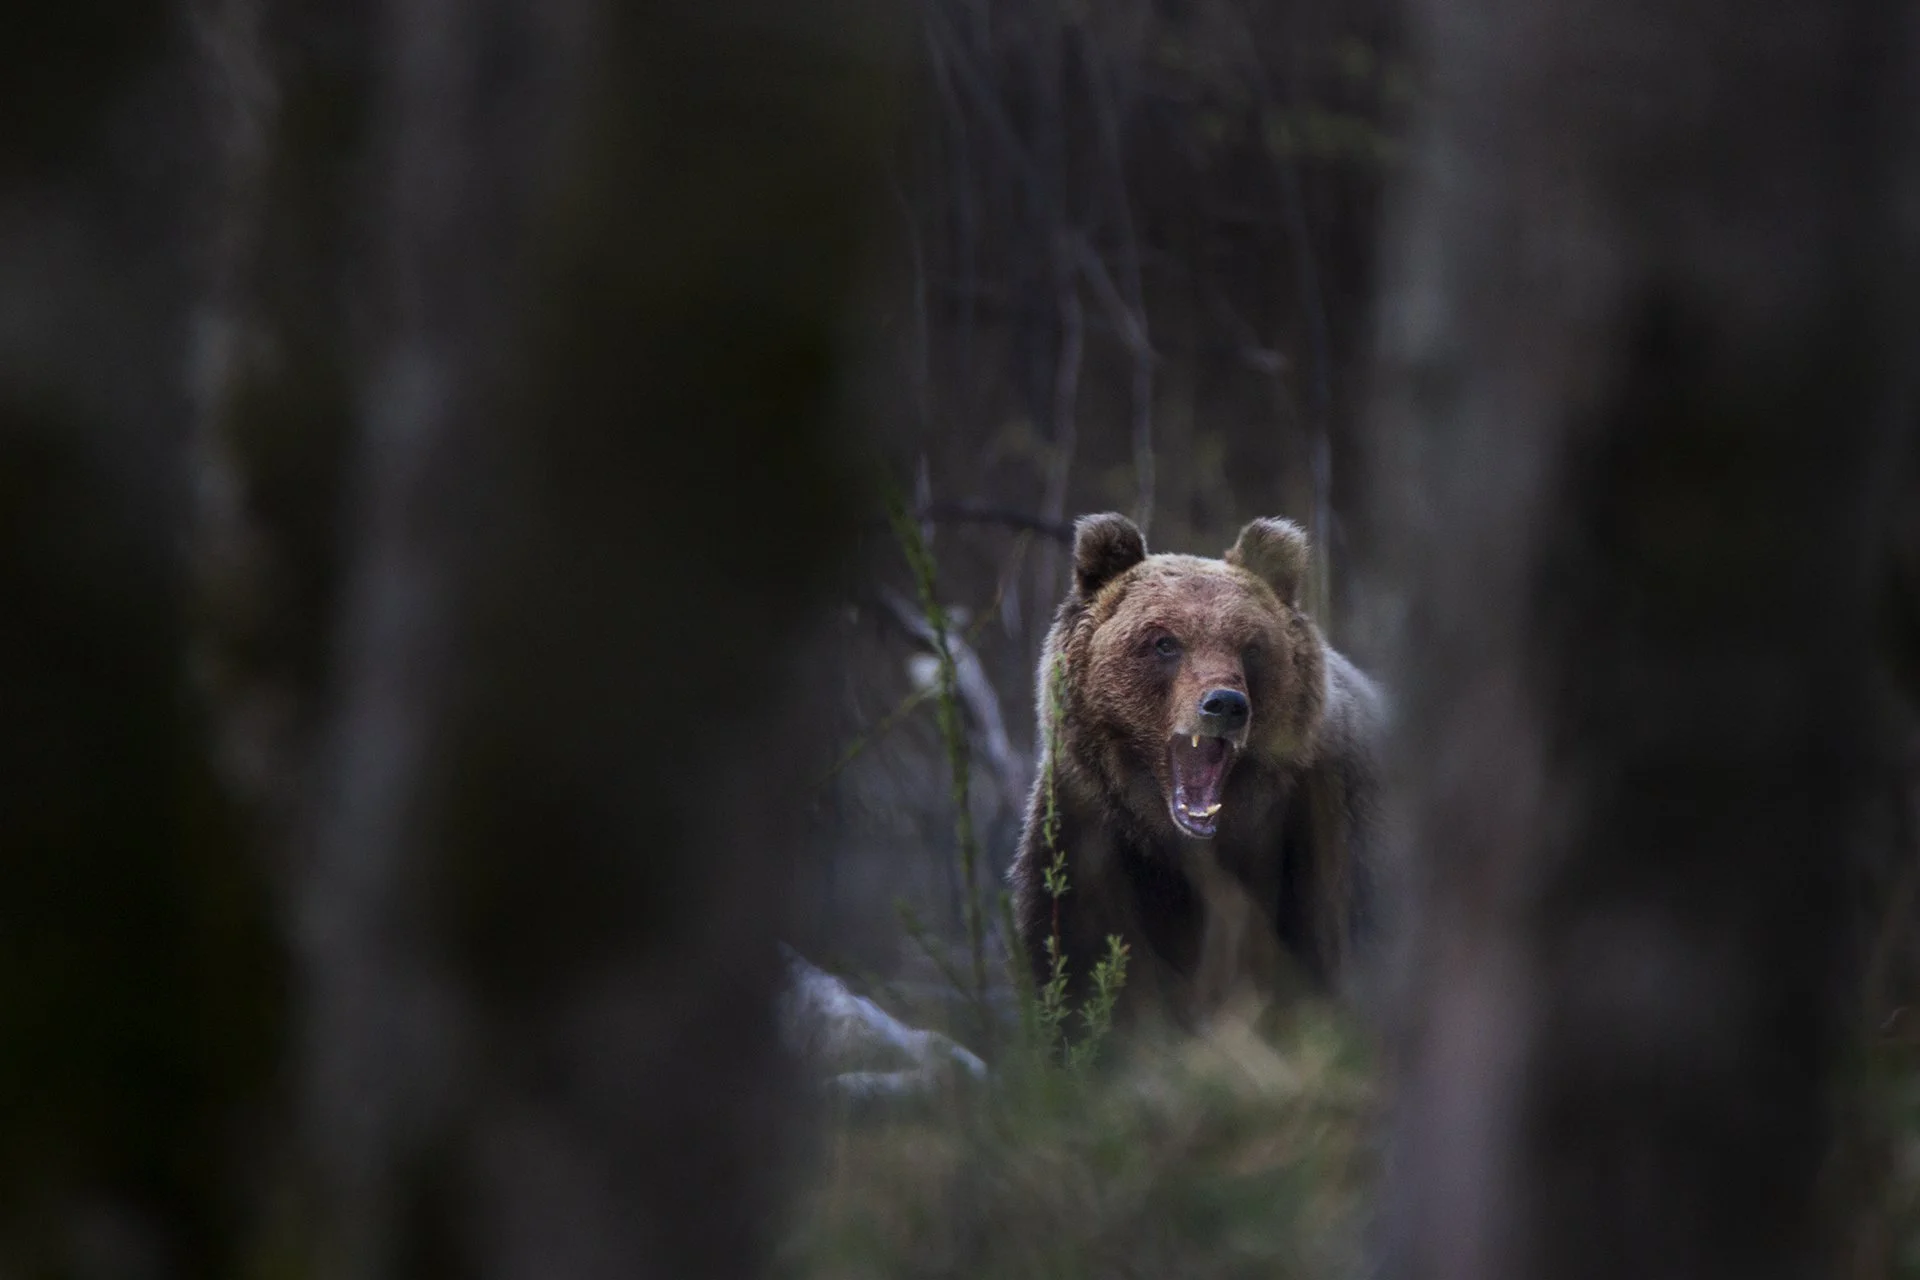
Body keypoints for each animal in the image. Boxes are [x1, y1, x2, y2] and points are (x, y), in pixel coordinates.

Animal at [1008, 512, 1384, 1030]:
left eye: (1251, 646)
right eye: (1165, 642)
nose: (1225, 704)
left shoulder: (1324, 835)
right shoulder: (1086, 843)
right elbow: (1077, 969)